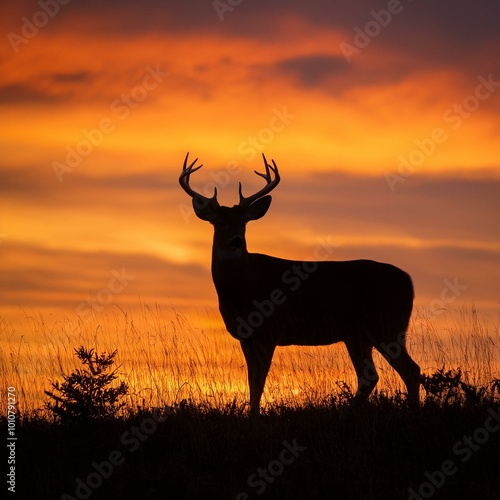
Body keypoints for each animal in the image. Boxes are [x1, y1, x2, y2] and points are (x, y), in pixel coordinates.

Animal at [180, 150, 422, 416]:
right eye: (220, 222)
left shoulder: (270, 329)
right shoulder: (246, 336)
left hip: (386, 323)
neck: (244, 288)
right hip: (357, 335)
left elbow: (259, 382)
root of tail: (408, 280)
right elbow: (252, 382)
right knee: (370, 377)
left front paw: (255, 416)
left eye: (243, 223)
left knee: (411, 370)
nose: (236, 242)